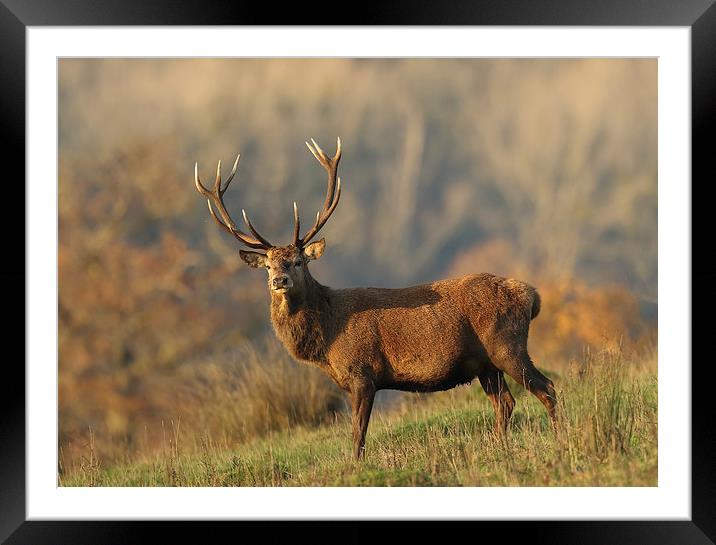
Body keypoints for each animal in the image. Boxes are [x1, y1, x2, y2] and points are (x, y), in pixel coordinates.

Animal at [196, 137, 560, 460]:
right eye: (269, 264)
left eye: (298, 261)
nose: (279, 280)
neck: (327, 337)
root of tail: (531, 295)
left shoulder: (363, 373)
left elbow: (358, 435)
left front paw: (354, 467)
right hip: (485, 363)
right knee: (506, 403)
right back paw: (500, 447)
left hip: (506, 344)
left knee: (547, 388)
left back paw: (560, 438)